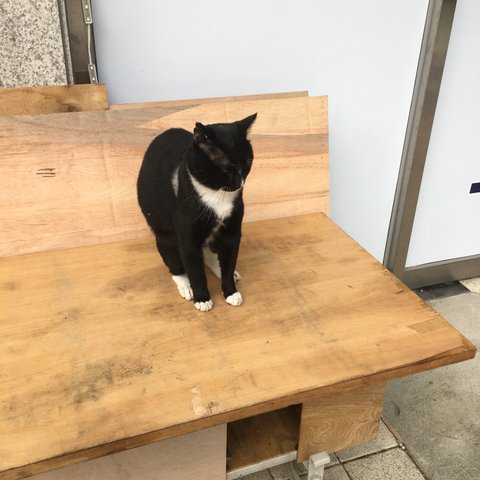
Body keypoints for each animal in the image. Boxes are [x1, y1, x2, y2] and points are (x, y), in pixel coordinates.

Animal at [137, 113, 257, 312]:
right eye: (226, 168)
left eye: (247, 163)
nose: (240, 183)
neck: (217, 195)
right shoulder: (187, 237)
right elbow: (195, 270)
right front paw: (202, 298)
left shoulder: (232, 232)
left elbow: (229, 261)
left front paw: (230, 291)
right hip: (163, 232)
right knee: (174, 261)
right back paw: (185, 285)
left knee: (210, 254)